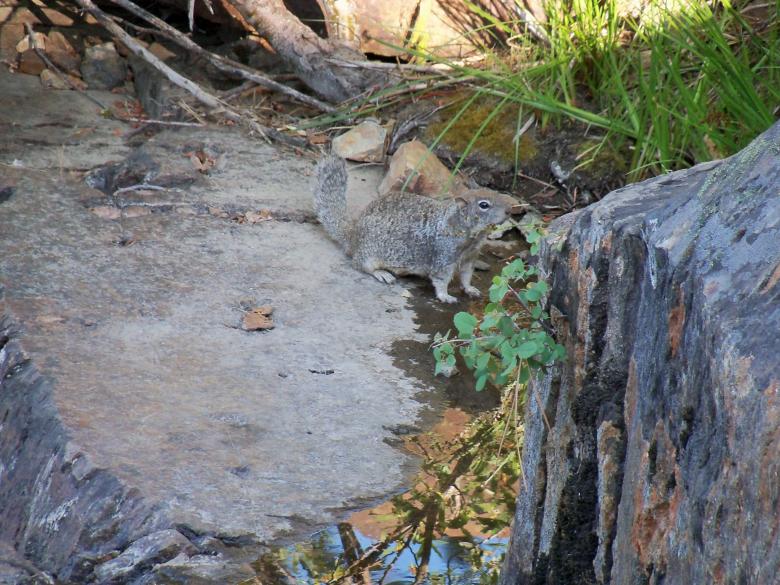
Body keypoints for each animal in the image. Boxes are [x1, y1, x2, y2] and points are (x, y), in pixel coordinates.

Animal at [314, 155, 517, 303]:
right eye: (484, 205)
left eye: (494, 192)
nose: (509, 210)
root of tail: (353, 236)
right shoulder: (443, 258)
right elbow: (441, 280)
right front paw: (446, 296)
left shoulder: (469, 257)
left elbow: (467, 276)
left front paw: (470, 289)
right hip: (369, 254)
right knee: (359, 264)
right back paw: (382, 274)